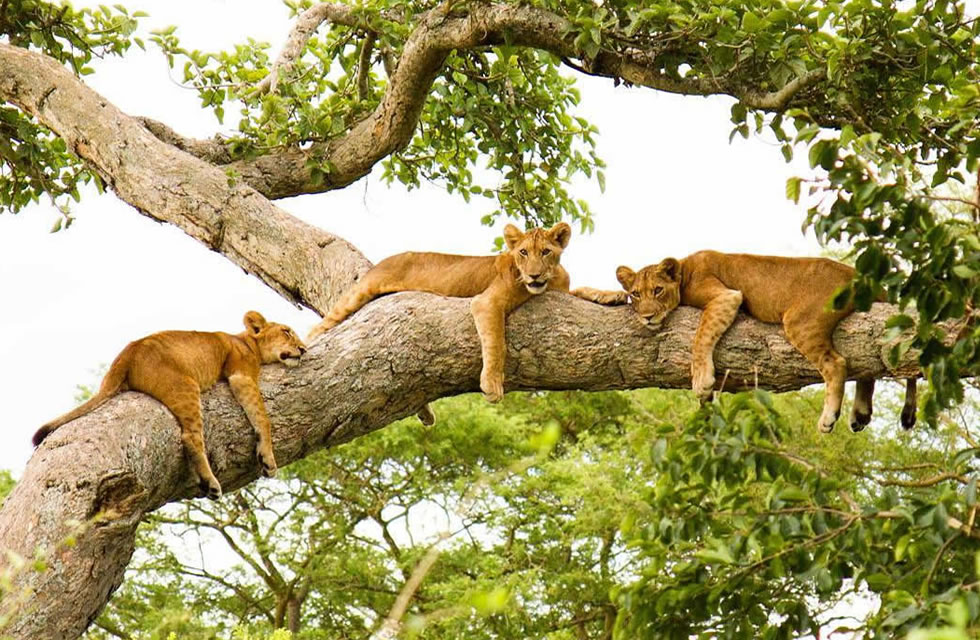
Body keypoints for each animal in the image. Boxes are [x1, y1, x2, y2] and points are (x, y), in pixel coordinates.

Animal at [34, 312, 304, 500]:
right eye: (286, 331)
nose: (302, 349)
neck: (246, 342)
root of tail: (127, 353)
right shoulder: (242, 375)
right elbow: (262, 418)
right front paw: (268, 459)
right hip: (186, 385)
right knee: (190, 437)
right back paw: (210, 483)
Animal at [304, 224, 568, 404]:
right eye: (523, 252)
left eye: (545, 252)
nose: (534, 275)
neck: (551, 280)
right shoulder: (486, 302)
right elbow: (496, 342)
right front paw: (492, 384)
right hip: (360, 292)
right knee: (319, 327)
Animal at [576, 252, 920, 432]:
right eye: (636, 294)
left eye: (657, 291)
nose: (647, 316)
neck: (685, 269)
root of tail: (861, 276)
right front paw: (595, 293)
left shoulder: (726, 296)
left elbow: (701, 336)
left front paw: (702, 380)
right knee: (866, 366)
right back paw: (859, 414)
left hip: (800, 321)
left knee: (838, 363)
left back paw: (828, 418)